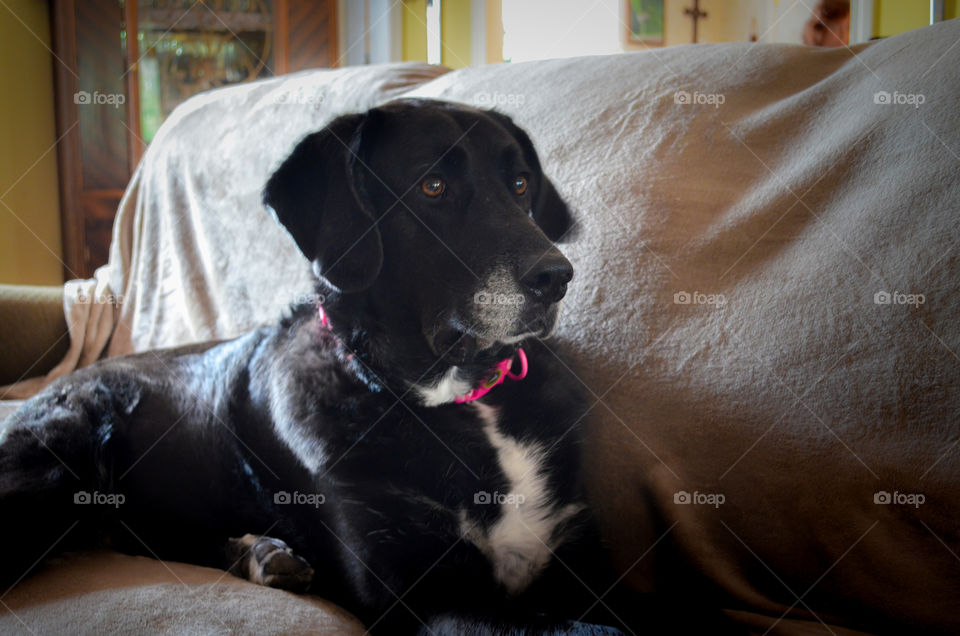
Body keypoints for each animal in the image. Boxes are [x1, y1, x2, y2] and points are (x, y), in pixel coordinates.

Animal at [0, 102, 636, 632]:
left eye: (521, 184)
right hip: (53, 465)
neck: (460, 396)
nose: (557, 277)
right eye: (432, 186)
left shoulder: (581, 557)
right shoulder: (429, 598)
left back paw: (260, 554)